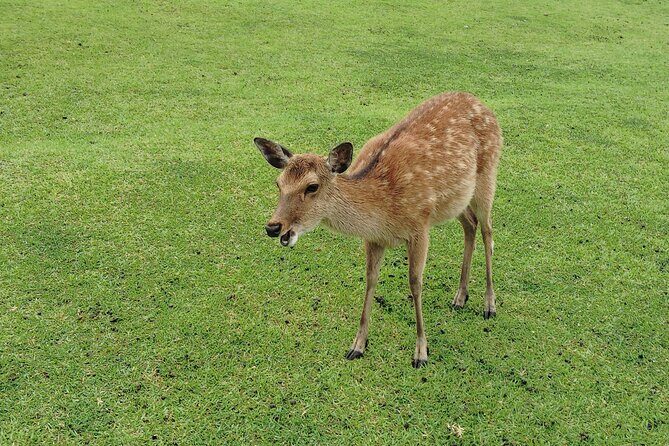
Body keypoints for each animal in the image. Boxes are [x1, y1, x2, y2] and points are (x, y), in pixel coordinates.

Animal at [254, 91, 502, 368]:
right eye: (278, 183)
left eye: (312, 186)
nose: (273, 226)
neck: (383, 210)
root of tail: (480, 103)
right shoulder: (373, 238)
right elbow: (371, 279)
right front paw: (357, 345)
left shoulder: (420, 225)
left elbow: (415, 283)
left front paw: (421, 352)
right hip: (457, 200)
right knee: (471, 225)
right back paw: (460, 298)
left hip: (488, 175)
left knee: (488, 231)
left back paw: (489, 304)